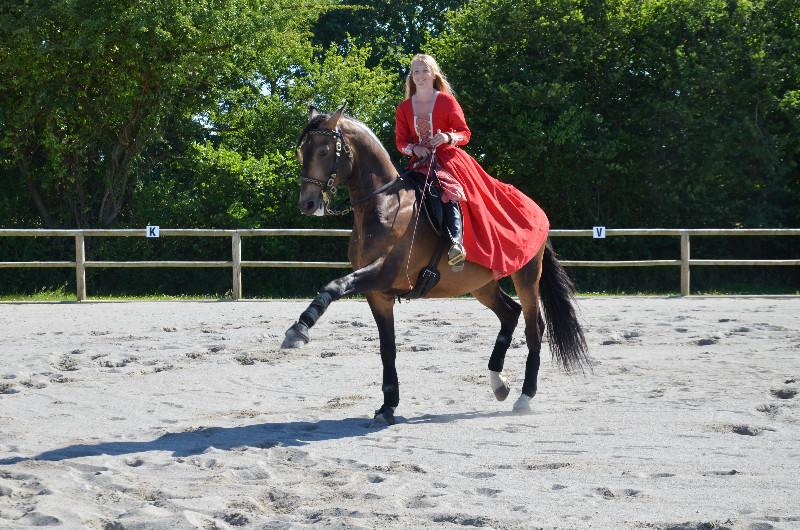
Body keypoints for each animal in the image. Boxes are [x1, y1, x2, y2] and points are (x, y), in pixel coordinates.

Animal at [282, 105, 588, 422]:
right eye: (302, 153)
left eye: (323, 150)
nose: (307, 204)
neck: (385, 205)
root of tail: (536, 208)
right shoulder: (378, 295)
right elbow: (387, 348)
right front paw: (388, 406)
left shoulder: (384, 274)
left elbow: (335, 285)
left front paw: (299, 329)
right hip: (482, 285)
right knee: (509, 314)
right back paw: (498, 382)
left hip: (526, 275)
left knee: (533, 328)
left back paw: (525, 396)